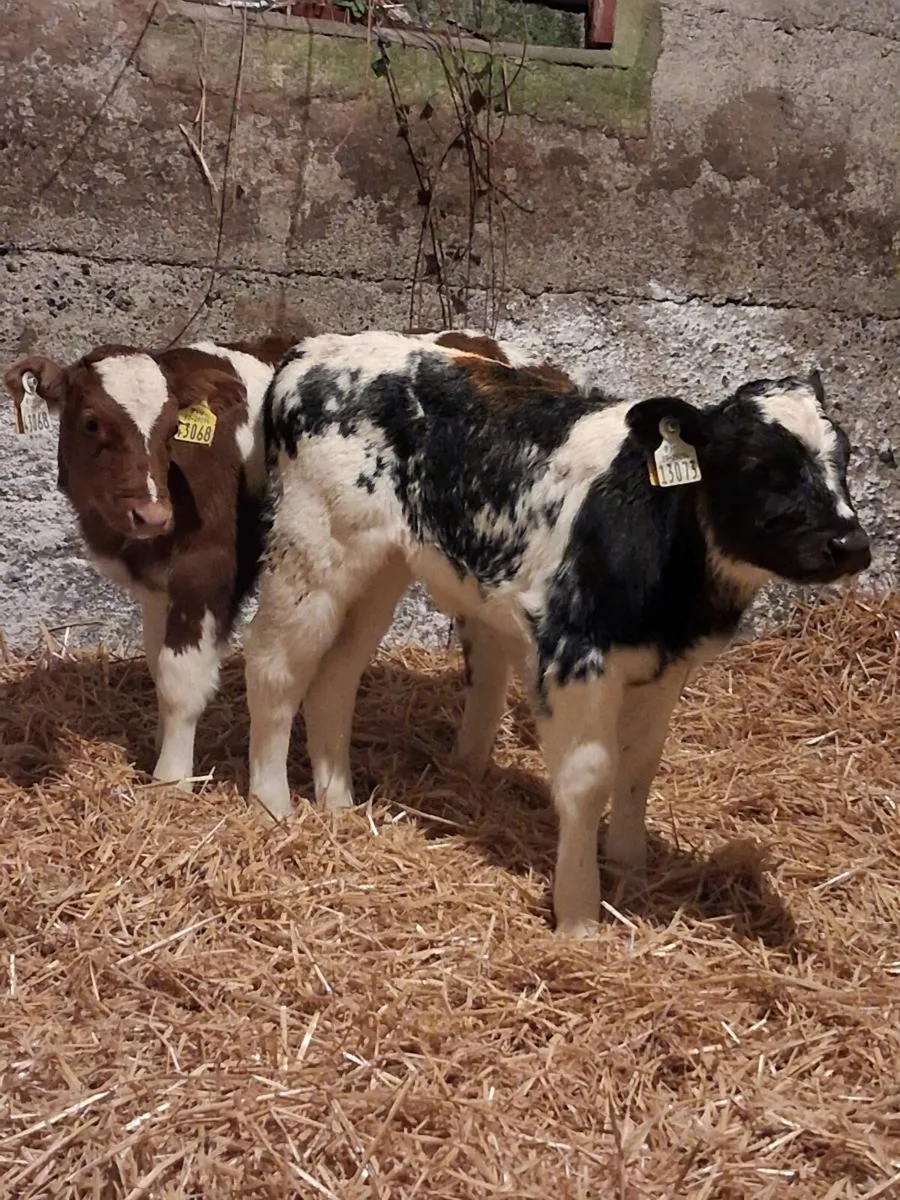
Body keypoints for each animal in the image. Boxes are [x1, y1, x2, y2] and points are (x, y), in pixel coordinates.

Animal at [4, 332, 303, 791]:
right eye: (91, 423)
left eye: (174, 428)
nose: (151, 516)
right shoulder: (157, 586)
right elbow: (157, 666)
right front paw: (160, 746)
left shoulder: (207, 568)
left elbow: (181, 678)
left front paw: (172, 779)